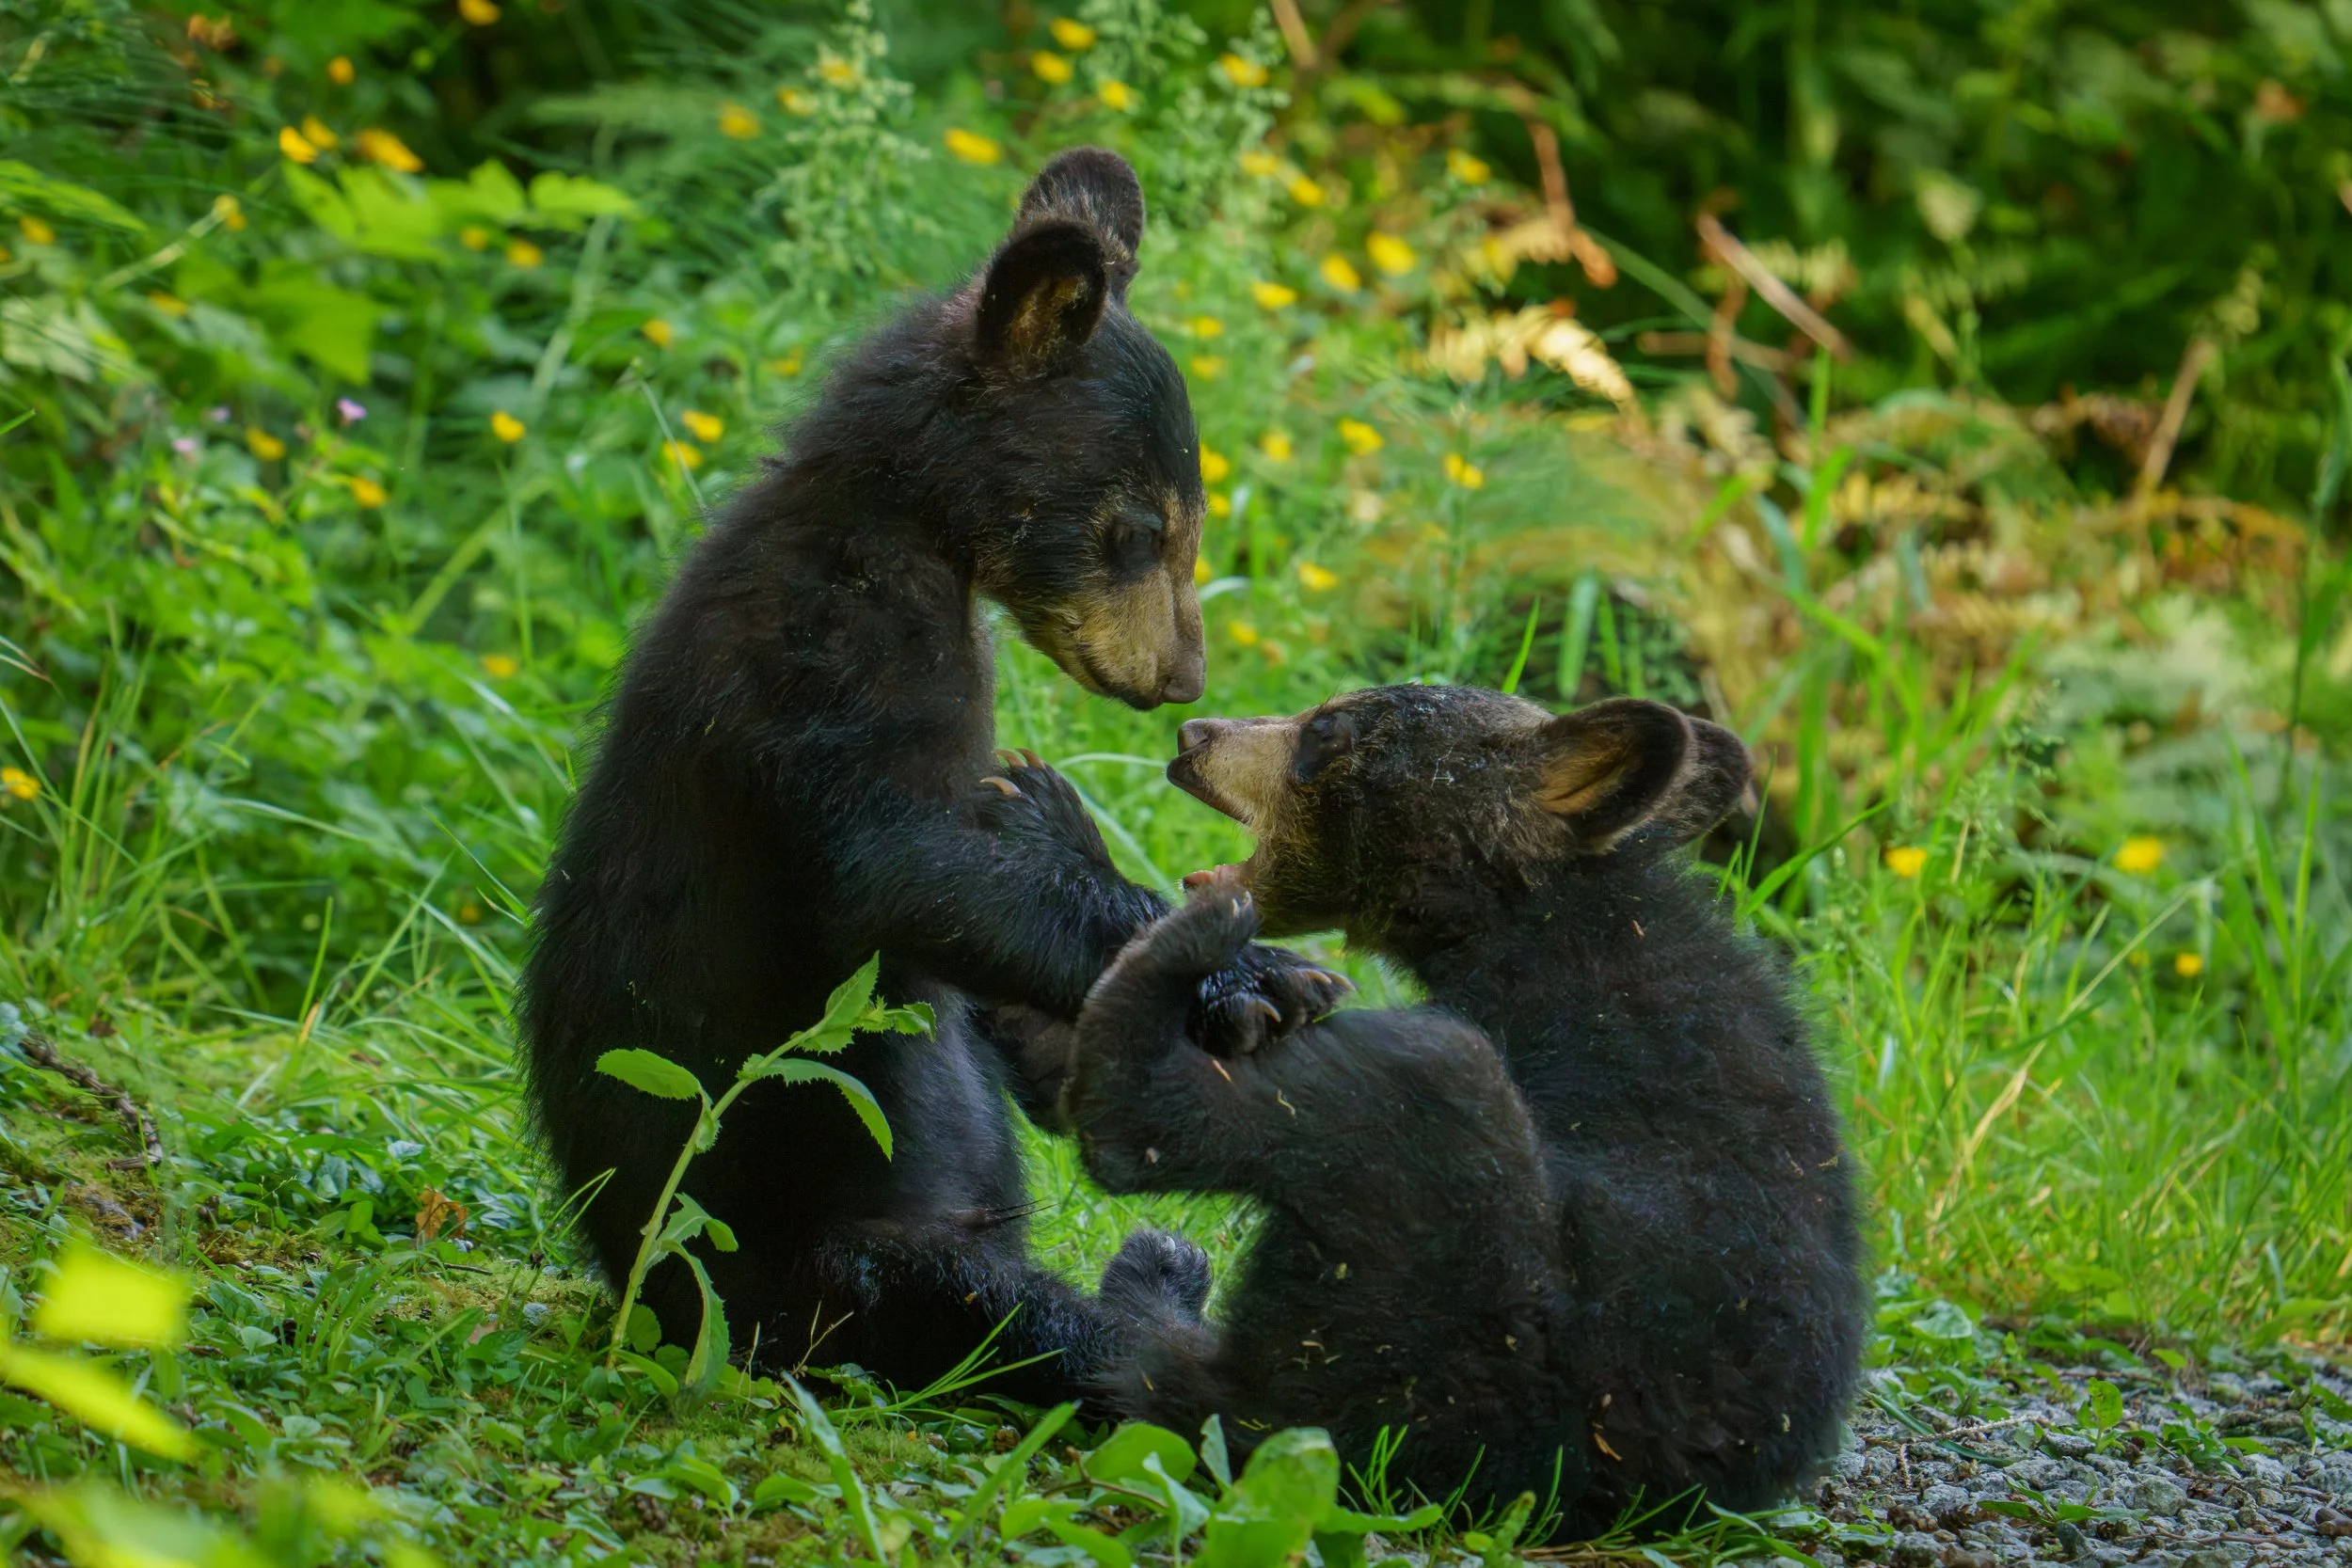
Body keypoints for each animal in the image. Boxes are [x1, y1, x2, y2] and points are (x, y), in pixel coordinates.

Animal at [516, 147, 1346, 1404]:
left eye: (1188, 523)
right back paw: (1156, 1299)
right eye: (1140, 529)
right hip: (823, 1263)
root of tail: (642, 1296)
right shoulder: (835, 644)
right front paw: (1257, 974)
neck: (904, 520)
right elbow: (897, 864)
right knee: (1027, 1322)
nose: (1180, 676)